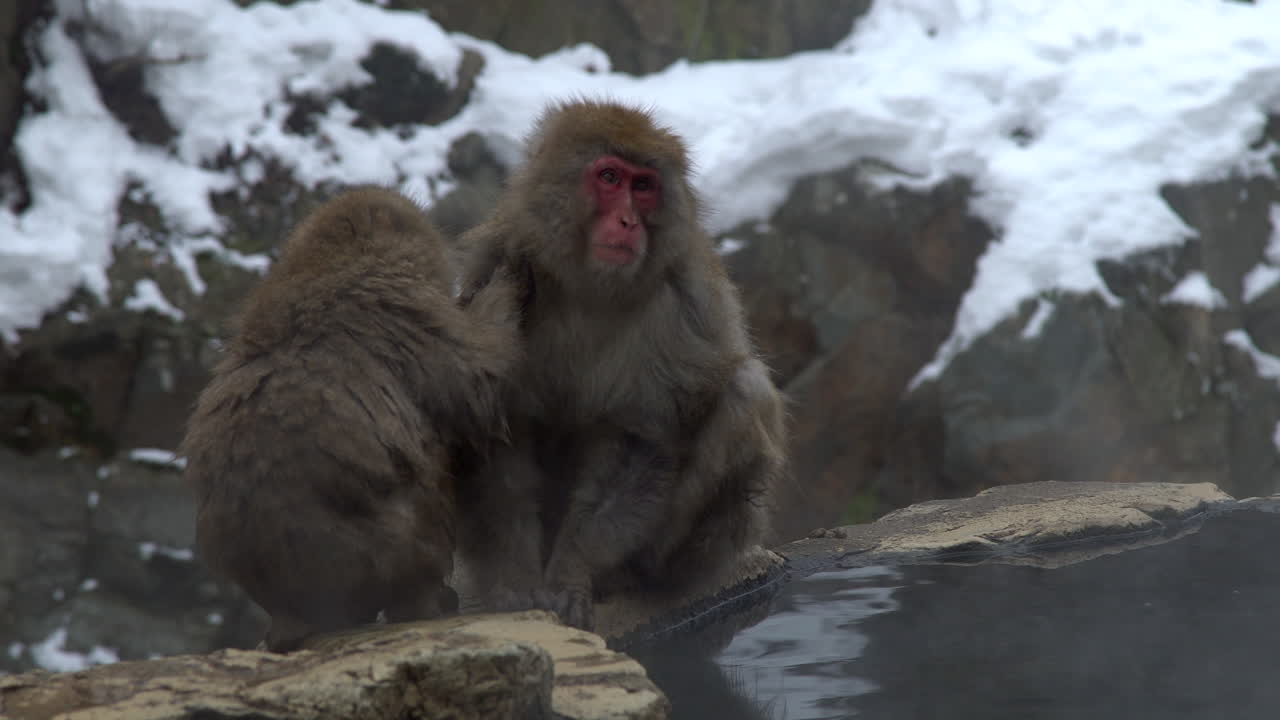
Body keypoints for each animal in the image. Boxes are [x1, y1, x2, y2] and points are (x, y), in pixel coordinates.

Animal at [180, 186, 521, 651]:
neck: (334, 266)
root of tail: (292, 606)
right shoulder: (408, 311)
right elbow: (483, 390)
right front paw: (504, 280)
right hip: (391, 550)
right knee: (426, 484)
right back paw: (423, 600)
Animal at [455, 100, 788, 630]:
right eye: (610, 177)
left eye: (644, 186)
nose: (629, 221)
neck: (590, 288)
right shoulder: (500, 271)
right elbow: (498, 427)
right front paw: (515, 581)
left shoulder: (674, 307)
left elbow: (638, 439)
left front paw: (570, 573)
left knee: (744, 388)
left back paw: (637, 574)